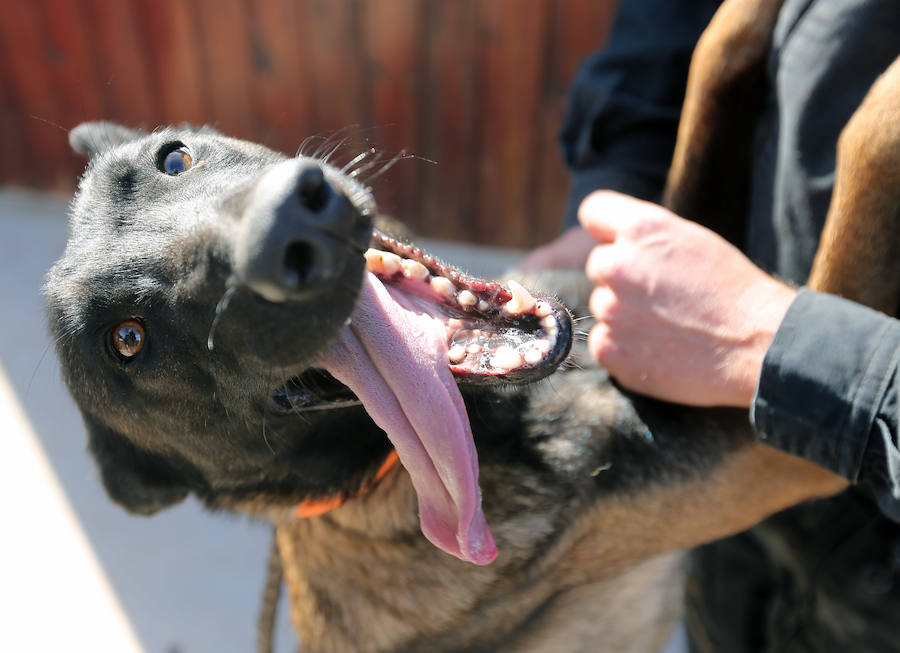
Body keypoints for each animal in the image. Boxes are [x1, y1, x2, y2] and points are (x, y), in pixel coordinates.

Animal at [49, 1, 900, 652]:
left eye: (173, 158)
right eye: (128, 341)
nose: (290, 227)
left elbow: (715, 49)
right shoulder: (766, 455)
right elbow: (870, 135)